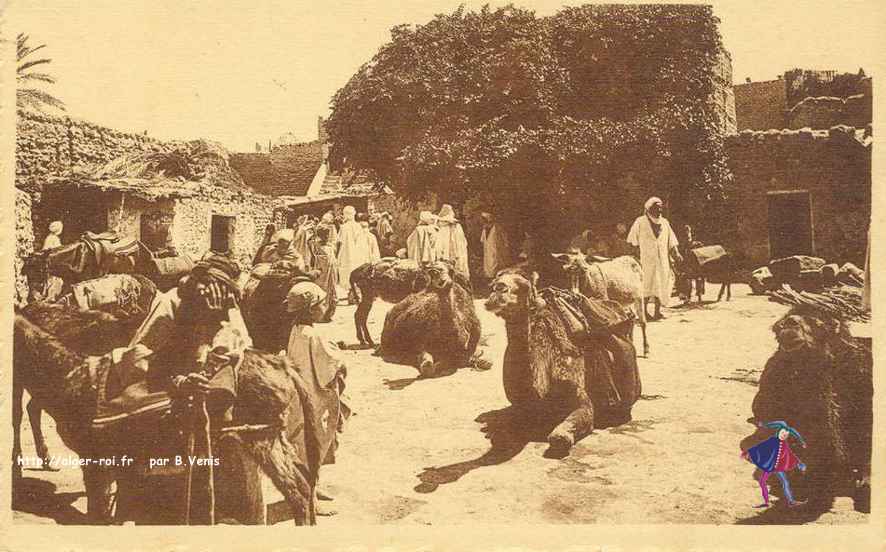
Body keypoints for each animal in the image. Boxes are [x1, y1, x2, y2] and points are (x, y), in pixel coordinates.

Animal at [482, 268, 640, 452]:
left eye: (525, 286)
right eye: (492, 285)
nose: (499, 290)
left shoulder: (579, 394)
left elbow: (560, 437)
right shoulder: (517, 405)